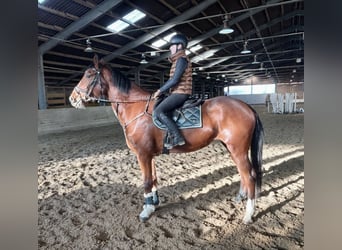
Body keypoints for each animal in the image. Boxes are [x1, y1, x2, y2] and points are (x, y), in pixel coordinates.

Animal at [68, 55, 264, 225]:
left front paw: (146, 211)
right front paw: (153, 204)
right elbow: (154, 179)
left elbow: (146, 181)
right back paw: (240, 198)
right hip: (231, 148)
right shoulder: (149, 155)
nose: (72, 98)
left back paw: (248, 215)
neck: (136, 108)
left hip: (237, 149)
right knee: (243, 174)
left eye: (89, 74)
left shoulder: (143, 154)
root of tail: (246, 107)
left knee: (250, 176)